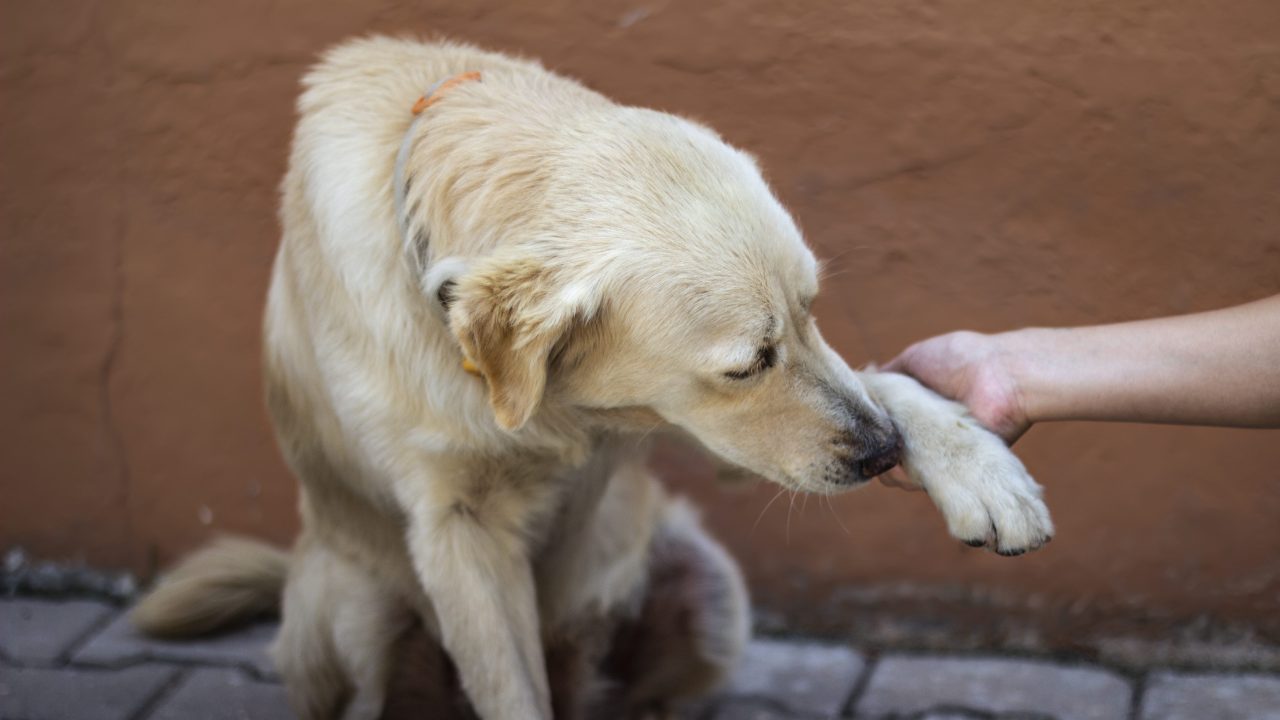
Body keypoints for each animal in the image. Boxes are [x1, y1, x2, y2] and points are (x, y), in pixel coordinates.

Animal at [129, 36, 1054, 717]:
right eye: (746, 364)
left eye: (813, 311)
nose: (880, 453)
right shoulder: (457, 530)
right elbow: (509, 690)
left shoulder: (713, 433)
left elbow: (884, 380)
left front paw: (980, 470)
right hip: (356, 602)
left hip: (708, 589)